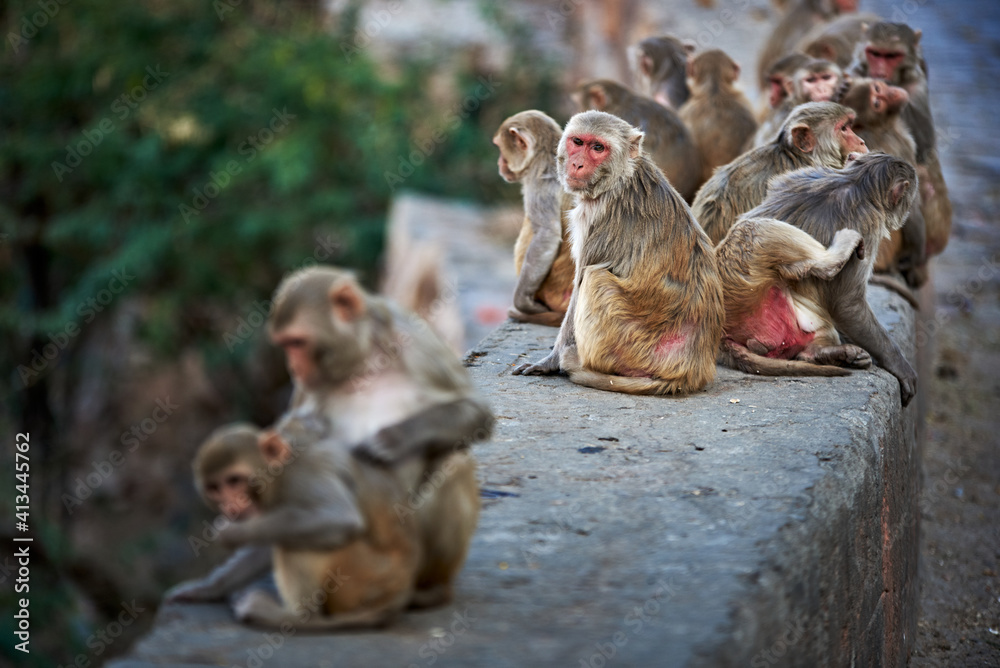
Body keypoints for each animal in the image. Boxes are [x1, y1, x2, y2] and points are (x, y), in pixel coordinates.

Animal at [492, 111, 575, 327]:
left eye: (500, 147)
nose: (499, 163)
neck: (543, 153)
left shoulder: (540, 180)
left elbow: (547, 234)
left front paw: (523, 303)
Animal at [513, 110, 724, 396]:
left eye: (598, 148)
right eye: (577, 142)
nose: (577, 164)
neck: (620, 177)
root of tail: (689, 371)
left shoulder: (594, 217)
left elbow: (580, 283)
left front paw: (551, 361)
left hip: (631, 346)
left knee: (595, 278)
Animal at [718, 152, 919, 407]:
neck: (857, 180)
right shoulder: (869, 222)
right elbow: (847, 305)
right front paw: (899, 366)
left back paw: (824, 354)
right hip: (743, 283)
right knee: (751, 229)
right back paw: (835, 255)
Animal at [839, 78, 927, 289]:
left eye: (878, 88)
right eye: (877, 103)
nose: (892, 94)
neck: (881, 126)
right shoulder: (900, 144)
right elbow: (911, 207)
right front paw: (915, 260)